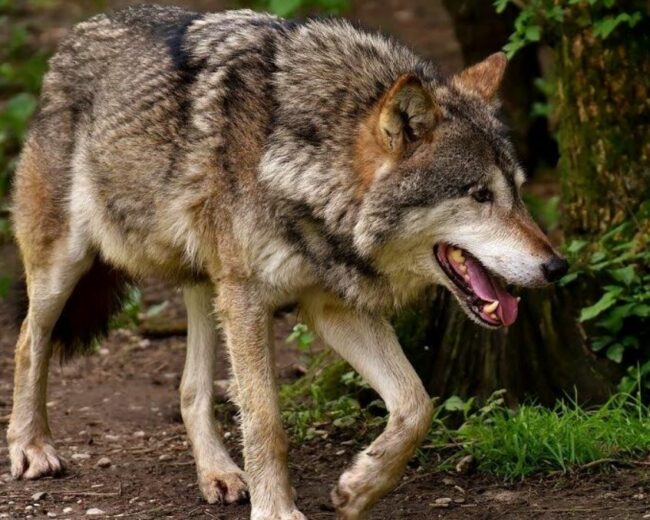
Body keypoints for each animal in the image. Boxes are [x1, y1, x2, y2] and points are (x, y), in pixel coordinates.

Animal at [7, 4, 568, 519]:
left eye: (518, 193)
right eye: (480, 195)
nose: (557, 267)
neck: (304, 166)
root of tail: (76, 35)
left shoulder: (330, 306)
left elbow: (416, 405)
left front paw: (359, 487)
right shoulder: (250, 299)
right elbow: (265, 421)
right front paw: (276, 509)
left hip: (207, 284)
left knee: (191, 389)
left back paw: (218, 473)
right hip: (68, 265)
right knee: (28, 341)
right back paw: (31, 447)